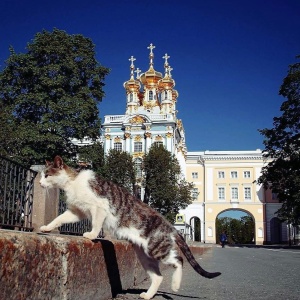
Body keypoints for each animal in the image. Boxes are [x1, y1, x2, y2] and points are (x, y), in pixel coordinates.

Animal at [39, 156, 220, 298]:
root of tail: (171, 227)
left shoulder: (100, 206)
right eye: (42, 175)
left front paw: (91, 235)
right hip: (144, 256)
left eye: (47, 175)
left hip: (156, 248)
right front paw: (47, 228)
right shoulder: (76, 211)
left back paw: (175, 285)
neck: (72, 183)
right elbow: (59, 219)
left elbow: (96, 224)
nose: (40, 183)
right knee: (158, 276)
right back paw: (148, 295)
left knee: (179, 260)